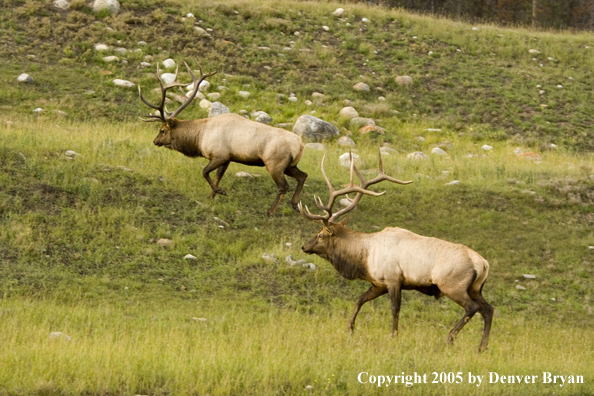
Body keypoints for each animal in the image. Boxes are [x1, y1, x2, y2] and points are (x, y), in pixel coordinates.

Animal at [138, 59, 306, 213]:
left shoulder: (220, 155)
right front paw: (211, 195)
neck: (199, 137)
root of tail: (300, 145)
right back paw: (295, 204)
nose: (155, 141)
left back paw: (270, 211)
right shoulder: (228, 157)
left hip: (274, 163)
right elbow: (218, 176)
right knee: (303, 176)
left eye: (162, 130)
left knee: (283, 186)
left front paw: (220, 191)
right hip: (290, 165)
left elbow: (205, 171)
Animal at [298, 150, 492, 352]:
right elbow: (360, 299)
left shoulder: (393, 279)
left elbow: (394, 309)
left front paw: (393, 335)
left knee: (472, 308)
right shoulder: (379, 283)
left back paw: (451, 337)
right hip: (475, 288)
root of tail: (483, 263)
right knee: (488, 309)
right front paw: (350, 327)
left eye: (320, 235)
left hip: (452, 284)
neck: (364, 258)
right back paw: (482, 346)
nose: (304, 246)